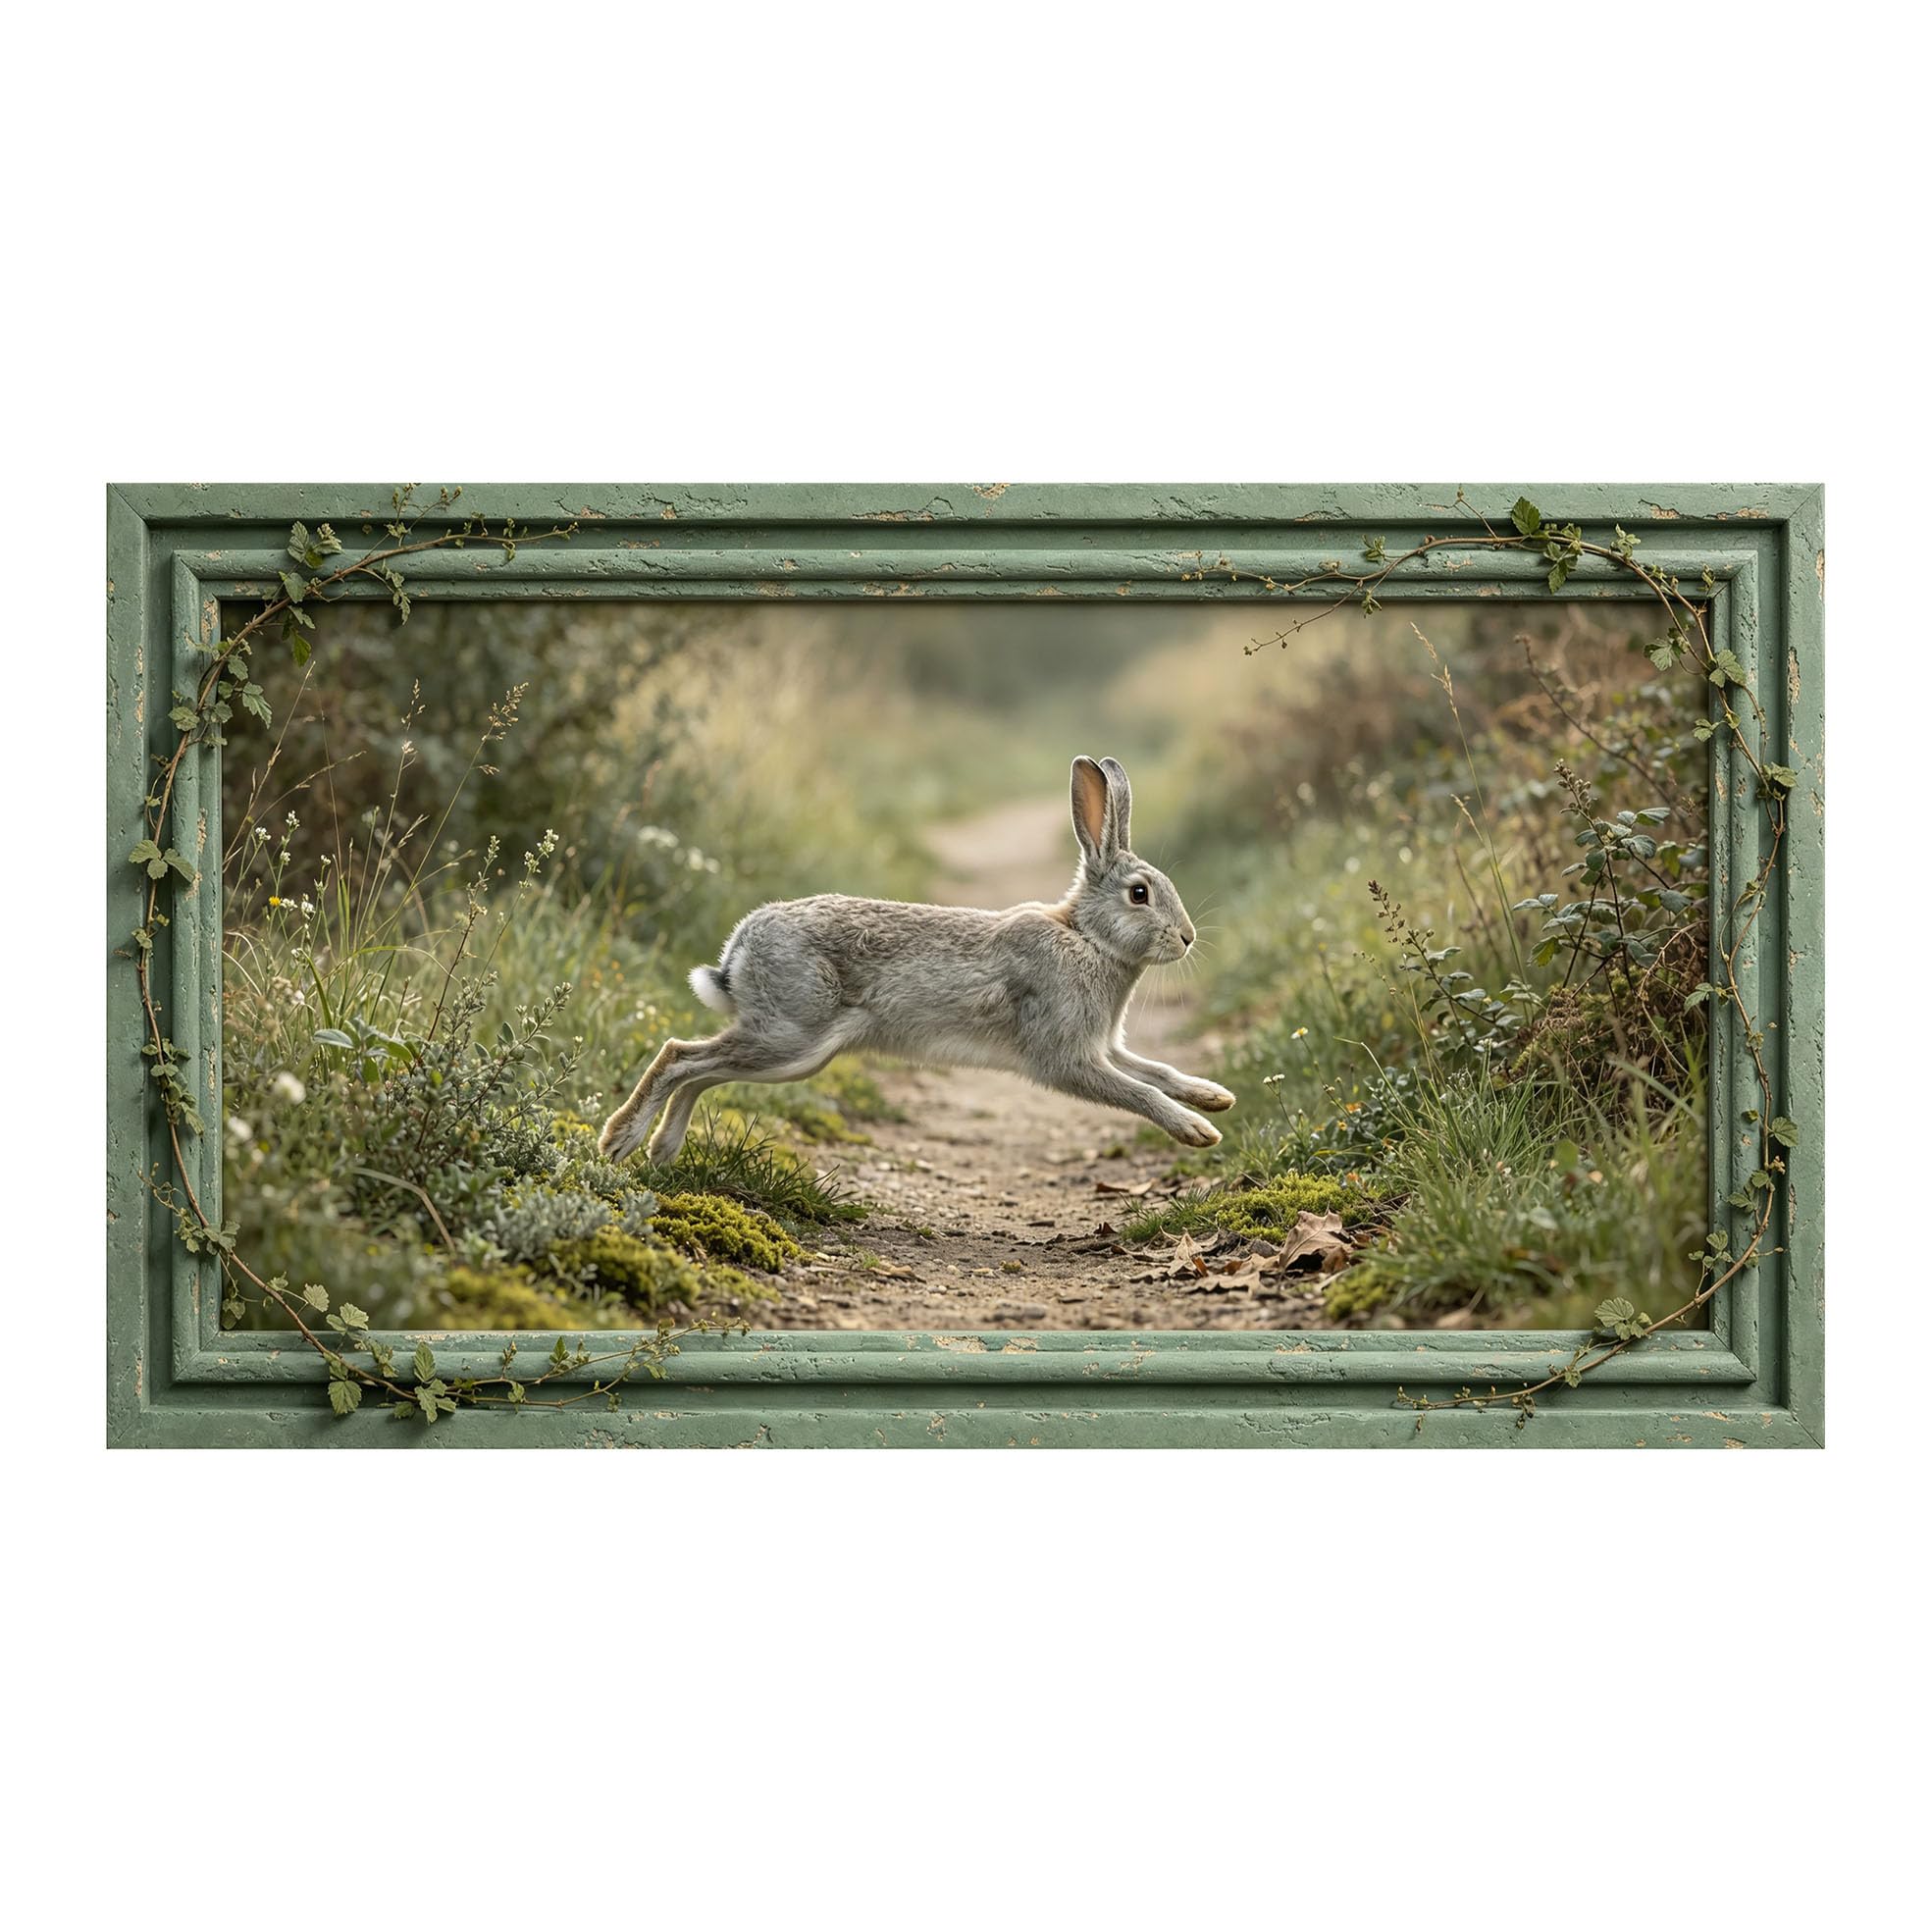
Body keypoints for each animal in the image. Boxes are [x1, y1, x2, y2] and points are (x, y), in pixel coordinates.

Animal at [598, 755, 1235, 1165]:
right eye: (1139, 894)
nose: (1187, 938)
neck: (1086, 938)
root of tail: (741, 946)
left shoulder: (1107, 1047)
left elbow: (1158, 1070)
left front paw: (1213, 1097)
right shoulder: (1067, 1057)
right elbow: (1137, 1092)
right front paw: (1199, 1130)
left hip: (796, 1056)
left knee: (701, 1071)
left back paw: (662, 1151)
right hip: (791, 1034)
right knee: (680, 1056)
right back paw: (619, 1141)